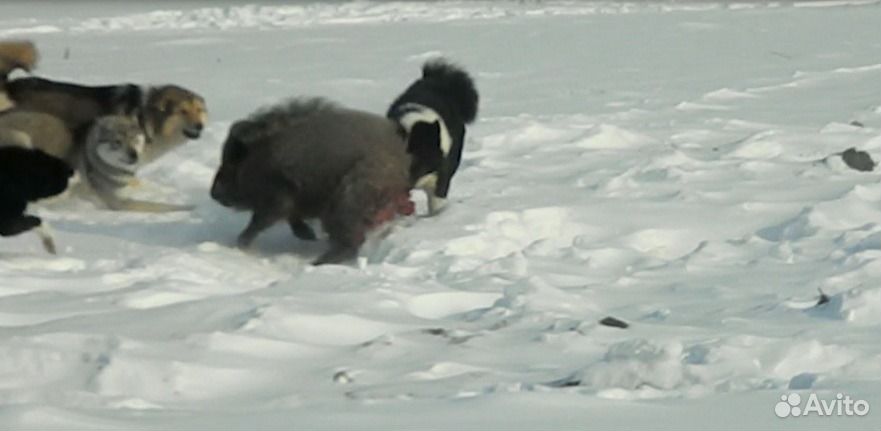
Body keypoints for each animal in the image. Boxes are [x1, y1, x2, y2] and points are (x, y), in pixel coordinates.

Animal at [210, 98, 412, 264]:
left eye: (231, 161)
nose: (214, 193)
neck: (258, 154)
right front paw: (308, 235)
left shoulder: (275, 201)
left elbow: (258, 223)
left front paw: (241, 244)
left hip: (343, 205)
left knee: (350, 243)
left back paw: (317, 262)